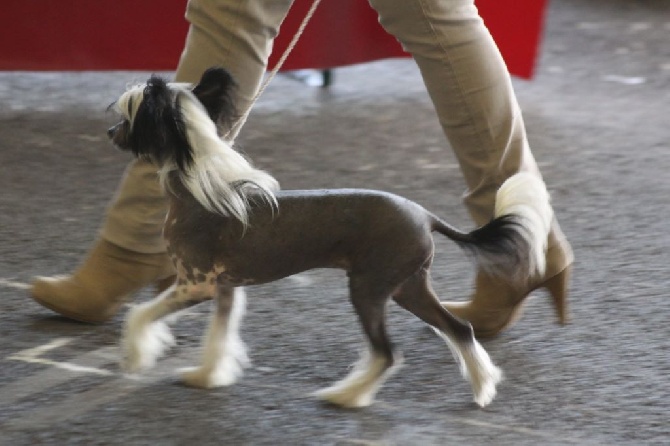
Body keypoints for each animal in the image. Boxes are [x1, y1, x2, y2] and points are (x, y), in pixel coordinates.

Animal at [109, 67, 552, 408]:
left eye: (130, 116)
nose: (111, 130)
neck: (199, 185)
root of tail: (426, 217)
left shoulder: (196, 284)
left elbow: (139, 314)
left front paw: (136, 354)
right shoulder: (225, 288)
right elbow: (218, 336)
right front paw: (207, 375)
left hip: (369, 289)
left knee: (387, 354)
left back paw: (346, 396)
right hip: (408, 287)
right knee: (459, 329)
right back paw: (483, 388)